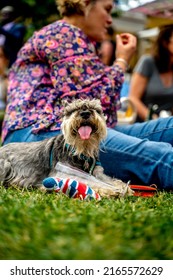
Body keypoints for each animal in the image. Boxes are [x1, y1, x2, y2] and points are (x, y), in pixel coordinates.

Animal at [0, 98, 130, 197]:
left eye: (95, 109)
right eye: (73, 110)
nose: (85, 113)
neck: (81, 151)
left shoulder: (97, 173)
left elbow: (108, 180)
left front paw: (124, 187)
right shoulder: (63, 173)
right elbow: (86, 181)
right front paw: (110, 190)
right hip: (5, 165)